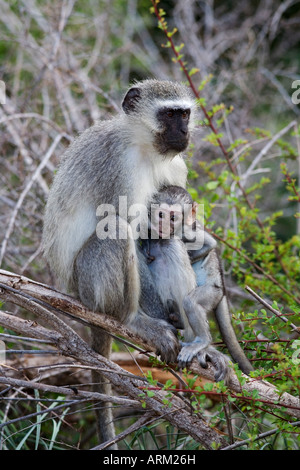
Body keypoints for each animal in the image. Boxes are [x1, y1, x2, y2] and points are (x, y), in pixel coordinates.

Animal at [42, 80, 197, 448]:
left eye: (184, 114)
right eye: (169, 115)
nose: (184, 131)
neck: (145, 147)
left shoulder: (176, 166)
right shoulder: (118, 166)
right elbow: (128, 229)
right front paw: (150, 324)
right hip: (88, 286)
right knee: (116, 228)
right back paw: (130, 319)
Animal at [142, 185, 254, 380]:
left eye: (173, 218)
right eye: (161, 215)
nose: (164, 225)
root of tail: (222, 289)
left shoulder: (186, 231)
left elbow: (209, 244)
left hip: (212, 292)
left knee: (191, 301)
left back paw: (202, 341)